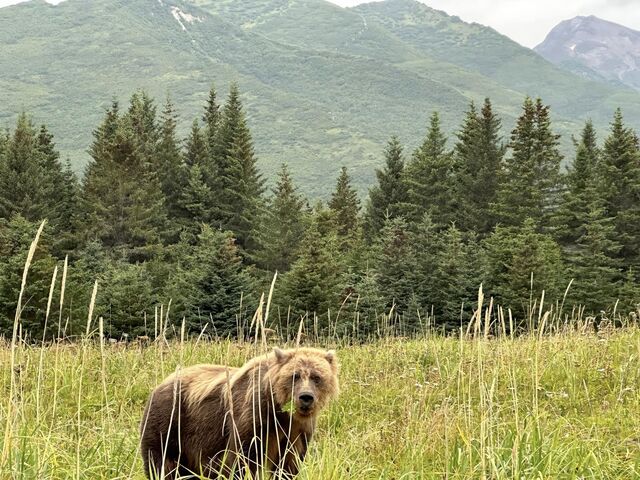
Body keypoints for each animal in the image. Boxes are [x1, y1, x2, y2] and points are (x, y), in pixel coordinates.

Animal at [140, 346, 340, 478]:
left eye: (316, 377)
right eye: (295, 376)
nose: (306, 397)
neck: (281, 414)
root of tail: (160, 385)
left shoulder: (297, 431)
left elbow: (289, 463)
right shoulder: (252, 417)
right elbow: (242, 457)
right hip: (170, 422)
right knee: (162, 463)